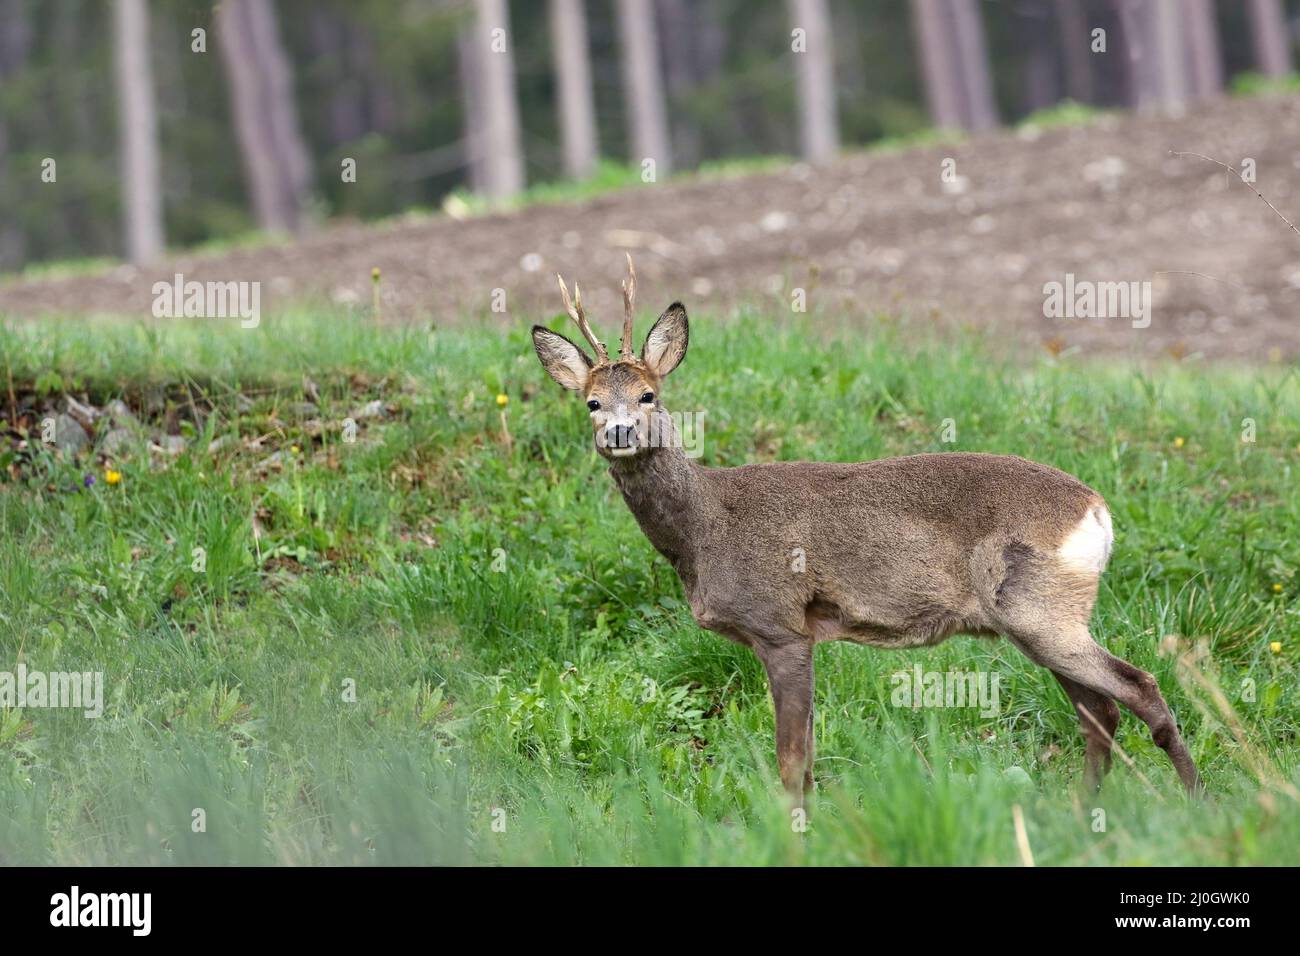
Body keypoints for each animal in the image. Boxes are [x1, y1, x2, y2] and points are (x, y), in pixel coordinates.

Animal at [533, 257, 1201, 806]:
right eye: (592, 402)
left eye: (649, 394)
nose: (620, 432)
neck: (705, 528)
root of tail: (1097, 509)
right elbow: (804, 760)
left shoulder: (781, 626)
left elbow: (791, 762)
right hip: (1041, 619)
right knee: (1101, 712)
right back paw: (1084, 811)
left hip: (1039, 608)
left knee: (1138, 687)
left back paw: (1197, 802)